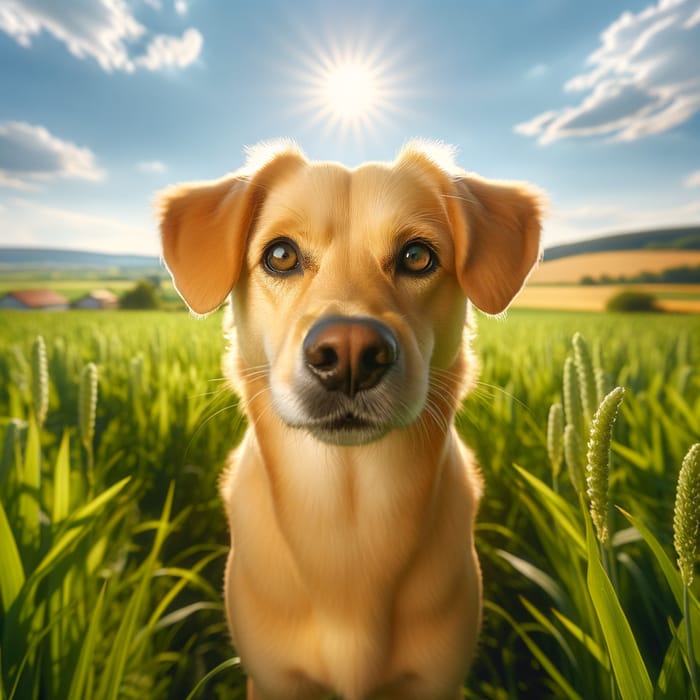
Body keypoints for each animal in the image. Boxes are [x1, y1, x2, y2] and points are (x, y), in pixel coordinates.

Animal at [159, 142, 540, 700]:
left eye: (417, 256)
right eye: (280, 255)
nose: (351, 356)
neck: (350, 511)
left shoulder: (434, 680)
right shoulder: (275, 681)